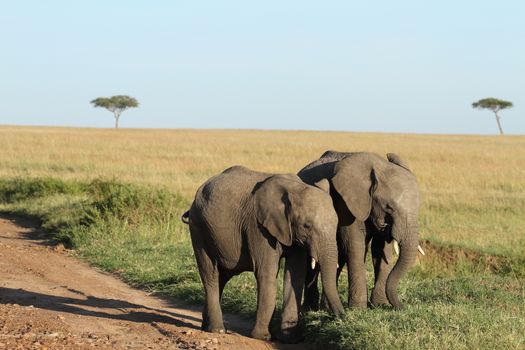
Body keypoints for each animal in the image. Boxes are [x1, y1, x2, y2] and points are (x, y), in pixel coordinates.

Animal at [182, 166, 342, 342]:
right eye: (307, 225)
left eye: (337, 224)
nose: (342, 317)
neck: (295, 187)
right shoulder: (258, 228)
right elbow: (267, 273)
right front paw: (262, 337)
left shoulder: (291, 233)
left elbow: (295, 275)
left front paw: (291, 339)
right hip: (199, 229)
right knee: (210, 274)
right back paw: (217, 330)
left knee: (222, 277)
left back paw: (206, 326)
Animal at [296, 150, 424, 308]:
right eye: (389, 207)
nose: (402, 306)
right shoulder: (346, 203)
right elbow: (355, 246)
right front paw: (358, 308)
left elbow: (381, 250)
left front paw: (379, 305)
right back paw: (310, 308)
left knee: (339, 257)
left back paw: (326, 306)